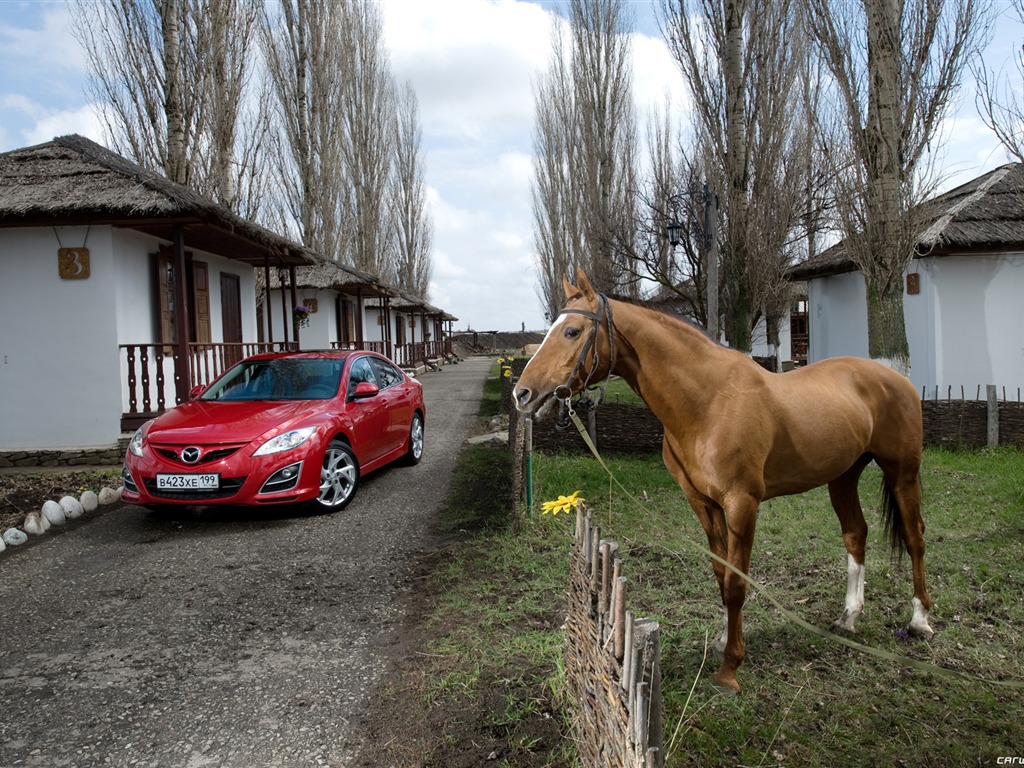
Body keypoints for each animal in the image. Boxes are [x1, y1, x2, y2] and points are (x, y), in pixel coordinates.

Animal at [516, 270, 933, 692]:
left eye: (572, 331)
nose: (523, 393)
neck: (709, 402)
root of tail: (894, 377)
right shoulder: (703, 503)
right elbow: (720, 573)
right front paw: (721, 640)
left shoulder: (741, 503)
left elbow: (736, 583)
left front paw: (731, 667)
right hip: (843, 476)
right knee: (855, 534)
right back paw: (849, 617)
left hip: (902, 471)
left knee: (914, 536)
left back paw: (919, 621)